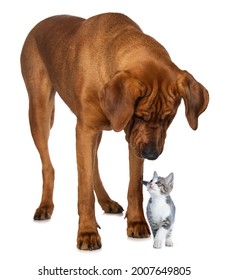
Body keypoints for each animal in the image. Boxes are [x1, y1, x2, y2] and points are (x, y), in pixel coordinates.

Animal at [20, 13, 208, 250]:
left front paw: (137, 223)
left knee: (94, 167)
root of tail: (40, 23)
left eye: (168, 117)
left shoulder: (131, 141)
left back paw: (106, 201)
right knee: (48, 165)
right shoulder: (86, 130)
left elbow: (134, 185)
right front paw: (87, 232)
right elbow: (84, 190)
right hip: (40, 112)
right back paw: (45, 205)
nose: (151, 155)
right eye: (140, 116)